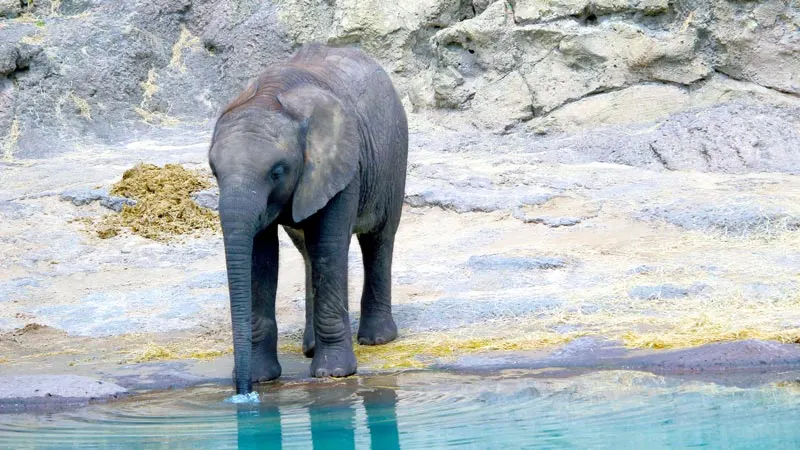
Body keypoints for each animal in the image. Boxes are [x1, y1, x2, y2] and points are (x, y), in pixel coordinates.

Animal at [208, 43, 406, 394]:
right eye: (214, 171)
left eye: (277, 172)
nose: (242, 392)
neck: (268, 95)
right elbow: (260, 258)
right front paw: (261, 377)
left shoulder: (342, 167)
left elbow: (328, 245)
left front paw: (334, 374)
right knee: (308, 252)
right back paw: (311, 347)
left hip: (393, 158)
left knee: (378, 240)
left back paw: (377, 340)